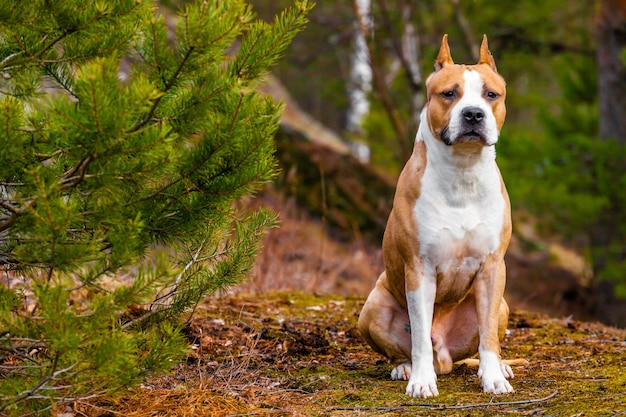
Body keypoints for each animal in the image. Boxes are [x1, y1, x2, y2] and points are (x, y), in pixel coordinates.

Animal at [356, 34, 516, 394]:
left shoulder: (492, 267)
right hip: (373, 307)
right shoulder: (419, 269)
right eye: (449, 94)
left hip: (501, 304)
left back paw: (498, 366)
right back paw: (405, 367)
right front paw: (420, 381)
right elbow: (418, 336)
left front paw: (493, 377)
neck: (462, 173)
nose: (473, 114)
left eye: (491, 94)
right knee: (407, 347)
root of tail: (445, 356)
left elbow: (488, 336)